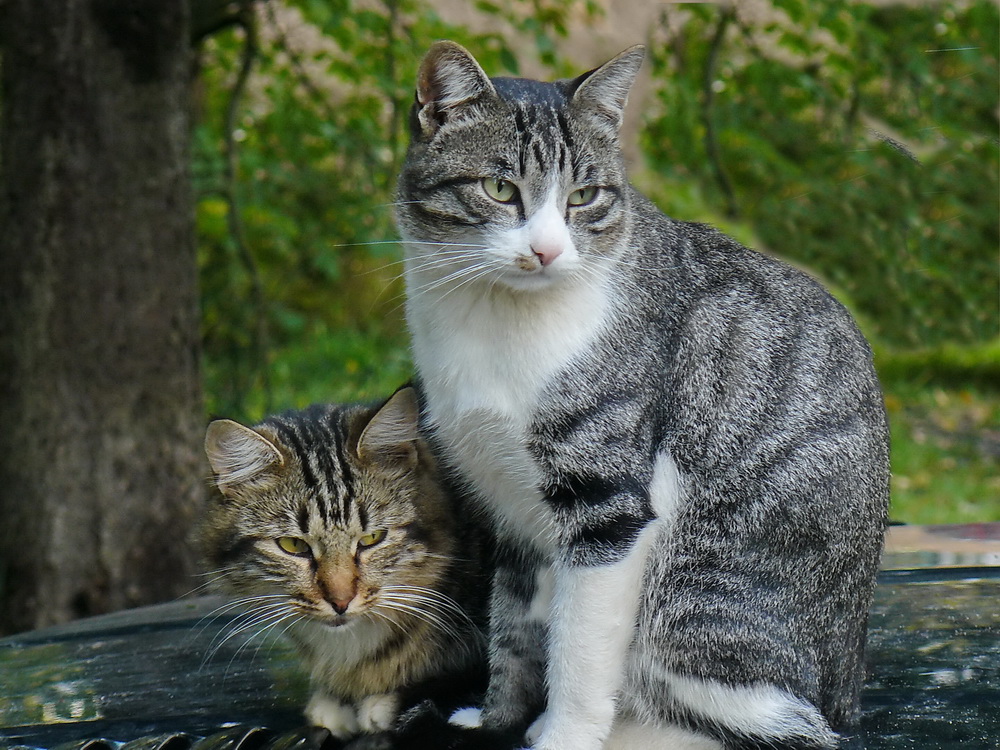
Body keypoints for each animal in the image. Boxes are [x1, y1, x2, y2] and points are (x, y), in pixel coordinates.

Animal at [394, 42, 888, 750]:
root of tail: (845, 690)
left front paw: (561, 734)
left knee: (775, 721)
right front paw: (499, 720)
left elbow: (578, 646)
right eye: (499, 189)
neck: (492, 321)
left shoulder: (608, 504)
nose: (546, 250)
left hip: (697, 592)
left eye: (584, 197)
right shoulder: (510, 510)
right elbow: (514, 630)